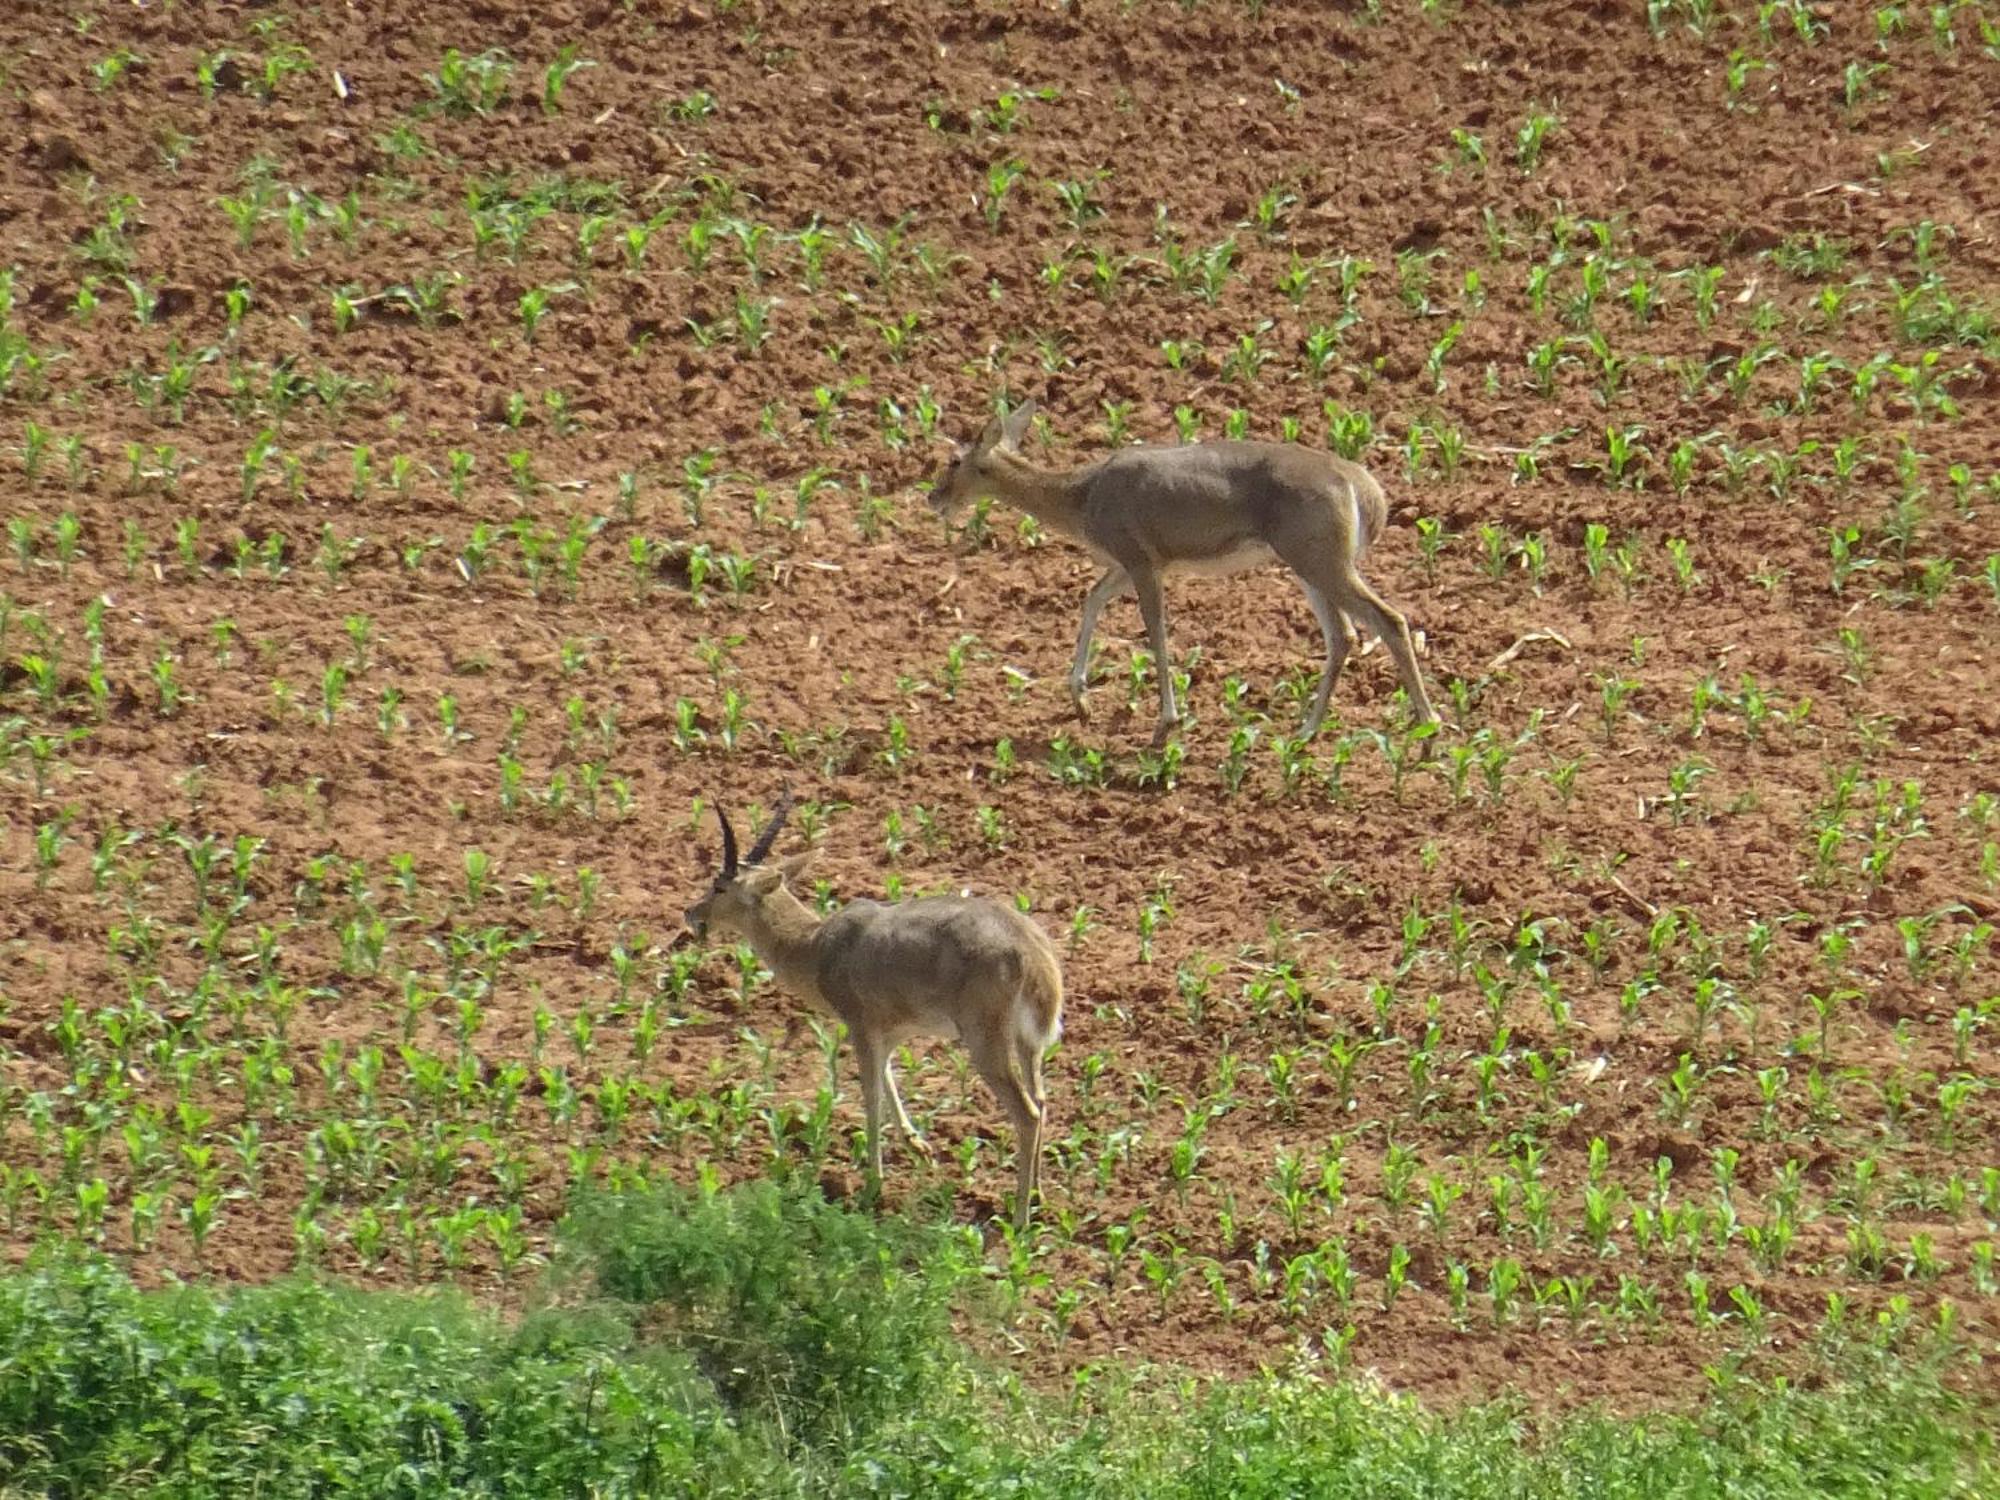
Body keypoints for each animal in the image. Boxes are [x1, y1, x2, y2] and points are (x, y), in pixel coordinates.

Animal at [684, 792, 1072, 1240]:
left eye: (719, 884)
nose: (691, 913)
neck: (817, 946)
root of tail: (1031, 951)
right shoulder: (889, 1032)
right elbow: (888, 1078)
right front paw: (917, 1145)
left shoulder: (859, 1025)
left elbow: (869, 1096)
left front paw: (872, 1185)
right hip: (1028, 1044)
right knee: (1042, 1100)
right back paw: (1039, 1195)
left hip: (985, 1043)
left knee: (1027, 1113)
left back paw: (1020, 1219)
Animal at [928, 400, 1432, 752]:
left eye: (954, 460)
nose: (933, 497)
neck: (1082, 498)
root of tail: (1365, 490)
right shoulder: (1131, 562)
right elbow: (1091, 598)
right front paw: (1081, 700)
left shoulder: (1140, 558)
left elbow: (1156, 632)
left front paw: (1164, 724)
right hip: (1310, 561)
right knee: (1344, 634)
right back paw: (1306, 731)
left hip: (1320, 558)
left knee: (1388, 619)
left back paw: (1428, 727)